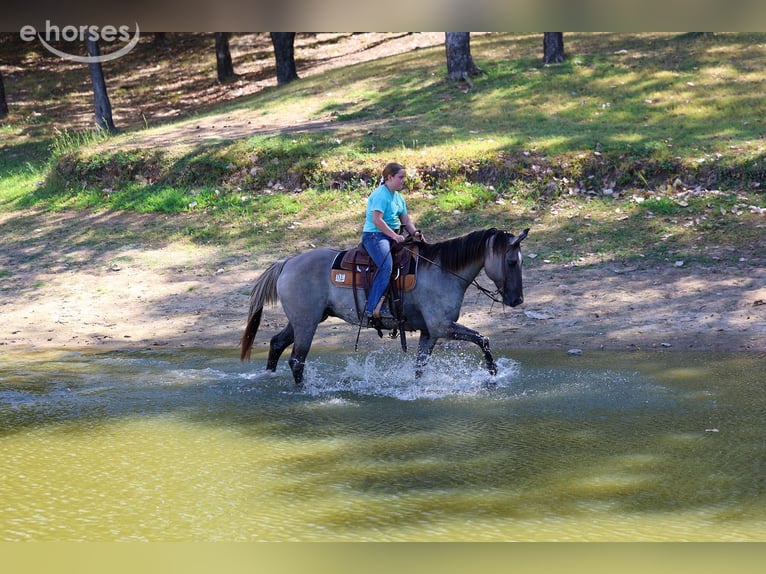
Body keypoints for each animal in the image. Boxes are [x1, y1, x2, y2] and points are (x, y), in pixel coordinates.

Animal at [240, 227, 530, 387]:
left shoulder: (430, 332)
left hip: (304, 320)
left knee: (277, 343)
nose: (517, 300)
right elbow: (483, 339)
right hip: (306, 324)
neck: (441, 270)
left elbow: (420, 366)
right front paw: (493, 375)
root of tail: (287, 262)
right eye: (512, 262)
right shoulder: (442, 327)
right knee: (296, 361)